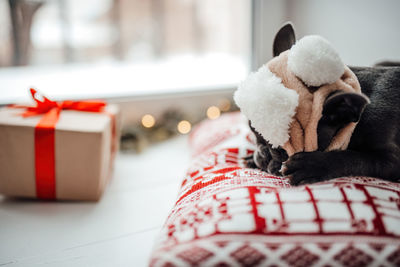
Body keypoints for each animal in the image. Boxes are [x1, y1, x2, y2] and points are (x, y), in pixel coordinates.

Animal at [245, 23, 400, 186]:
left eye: (280, 150)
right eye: (253, 130)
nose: (263, 152)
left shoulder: (391, 160)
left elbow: (355, 158)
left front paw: (312, 165)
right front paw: (251, 157)